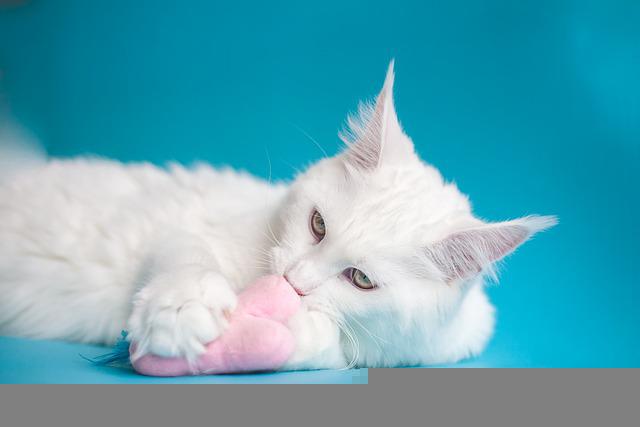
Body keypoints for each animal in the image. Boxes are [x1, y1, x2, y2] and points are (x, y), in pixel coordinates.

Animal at [0, 61, 552, 370]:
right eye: (318, 225)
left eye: (361, 279)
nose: (293, 281)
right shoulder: (188, 232)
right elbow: (188, 264)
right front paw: (182, 312)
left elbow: (327, 347)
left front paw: (276, 337)